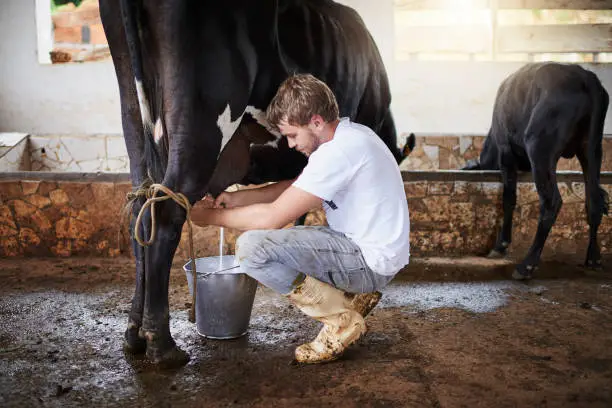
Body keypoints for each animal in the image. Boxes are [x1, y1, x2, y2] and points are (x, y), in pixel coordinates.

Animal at [466, 63, 608, 280]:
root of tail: (584, 77)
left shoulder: (506, 152)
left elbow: (509, 198)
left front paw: (501, 245)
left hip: (539, 147)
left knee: (552, 201)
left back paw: (526, 265)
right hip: (591, 149)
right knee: (593, 201)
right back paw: (593, 258)